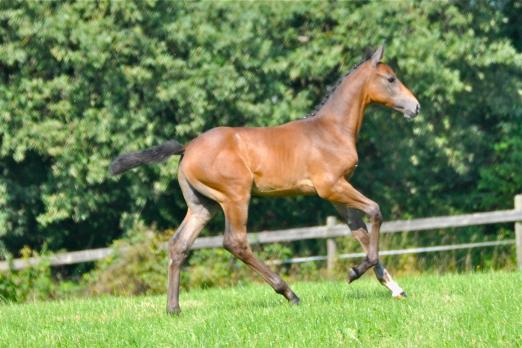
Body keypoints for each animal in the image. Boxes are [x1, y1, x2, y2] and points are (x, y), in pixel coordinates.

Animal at [109, 44, 418, 314]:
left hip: (202, 205)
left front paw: (394, 288)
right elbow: (375, 212)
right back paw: (289, 293)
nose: (415, 107)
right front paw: (354, 272)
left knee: (179, 245)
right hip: (235, 197)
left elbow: (361, 233)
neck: (331, 130)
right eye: (390, 78)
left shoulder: (337, 194)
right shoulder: (332, 187)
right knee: (235, 242)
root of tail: (187, 149)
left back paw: (173, 309)